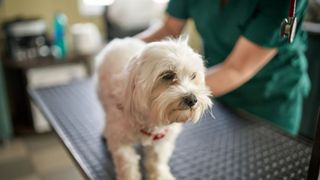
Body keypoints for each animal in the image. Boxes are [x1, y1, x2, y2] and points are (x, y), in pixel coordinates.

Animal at [96, 37, 214, 180]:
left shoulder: (163, 138)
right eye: (168, 75)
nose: (192, 99)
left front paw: (161, 175)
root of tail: (121, 40)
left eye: (193, 76)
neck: (150, 120)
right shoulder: (119, 139)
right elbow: (127, 162)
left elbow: (157, 160)